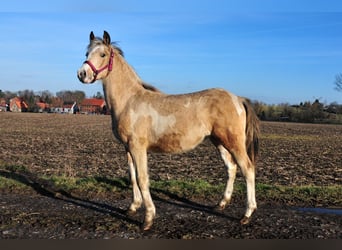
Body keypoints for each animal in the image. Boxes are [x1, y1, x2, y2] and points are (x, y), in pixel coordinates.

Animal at [77, 30, 260, 230]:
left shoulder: (138, 147)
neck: (129, 100)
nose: (82, 74)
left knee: (247, 169)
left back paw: (247, 214)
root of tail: (238, 98)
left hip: (234, 143)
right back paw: (221, 204)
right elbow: (132, 177)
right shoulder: (127, 148)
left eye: (102, 54)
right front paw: (133, 207)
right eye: (87, 53)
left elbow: (142, 179)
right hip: (219, 141)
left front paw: (148, 218)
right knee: (231, 168)